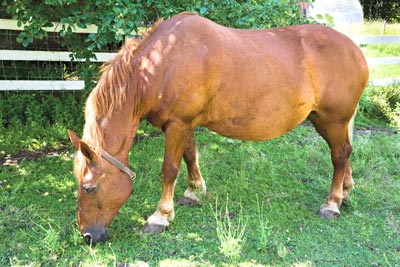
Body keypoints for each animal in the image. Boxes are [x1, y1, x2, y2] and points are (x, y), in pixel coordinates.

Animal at [67, 13, 368, 247]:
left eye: (89, 187)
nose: (88, 236)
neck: (163, 63)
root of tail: (355, 49)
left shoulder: (177, 124)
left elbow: (169, 169)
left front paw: (160, 217)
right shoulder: (184, 124)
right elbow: (190, 155)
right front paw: (194, 192)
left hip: (332, 120)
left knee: (340, 155)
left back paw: (332, 203)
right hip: (331, 121)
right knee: (345, 152)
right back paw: (346, 191)